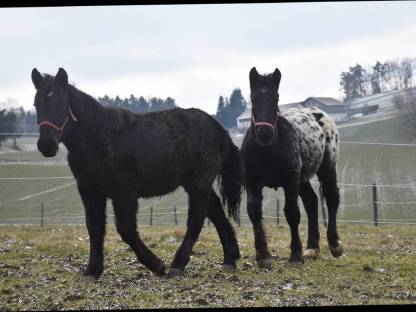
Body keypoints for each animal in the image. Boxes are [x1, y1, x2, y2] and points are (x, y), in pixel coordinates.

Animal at [30, 67, 242, 278]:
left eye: (60, 102)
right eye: (36, 104)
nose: (46, 145)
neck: (99, 139)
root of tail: (219, 129)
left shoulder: (124, 193)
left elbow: (125, 229)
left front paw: (156, 264)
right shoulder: (90, 191)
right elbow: (95, 228)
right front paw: (92, 270)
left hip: (199, 183)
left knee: (196, 220)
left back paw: (178, 264)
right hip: (195, 183)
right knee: (215, 212)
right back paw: (230, 258)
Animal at [240, 66, 344, 268]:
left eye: (276, 98)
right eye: (253, 98)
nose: (264, 133)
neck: (266, 151)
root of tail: (319, 113)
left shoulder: (290, 181)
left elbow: (292, 213)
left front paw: (295, 255)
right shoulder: (252, 183)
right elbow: (254, 211)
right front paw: (263, 255)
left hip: (326, 167)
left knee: (332, 197)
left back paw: (334, 244)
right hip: (302, 179)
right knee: (311, 202)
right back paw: (312, 248)